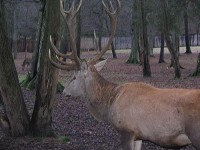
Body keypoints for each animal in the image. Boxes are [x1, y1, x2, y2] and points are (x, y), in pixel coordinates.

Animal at [48, 0, 200, 150]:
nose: (64, 92)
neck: (110, 104)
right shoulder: (139, 136)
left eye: (74, 77)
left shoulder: (126, 130)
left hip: (195, 134)